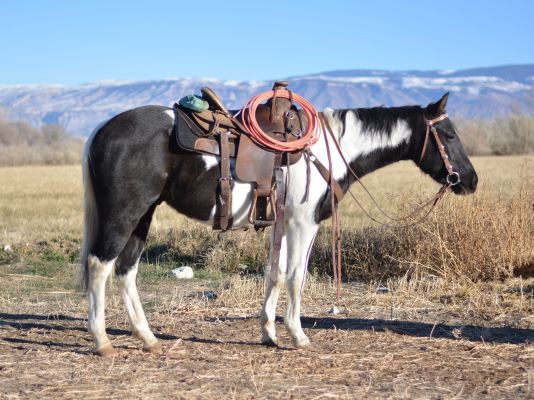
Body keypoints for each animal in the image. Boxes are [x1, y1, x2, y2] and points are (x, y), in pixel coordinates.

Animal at [81, 93, 480, 356]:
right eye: (449, 135)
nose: (471, 180)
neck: (327, 150)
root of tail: (101, 128)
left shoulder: (283, 223)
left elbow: (274, 273)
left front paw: (269, 334)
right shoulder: (304, 222)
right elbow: (295, 276)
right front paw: (297, 336)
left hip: (143, 215)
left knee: (126, 270)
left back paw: (147, 338)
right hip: (125, 212)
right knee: (100, 265)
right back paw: (102, 341)